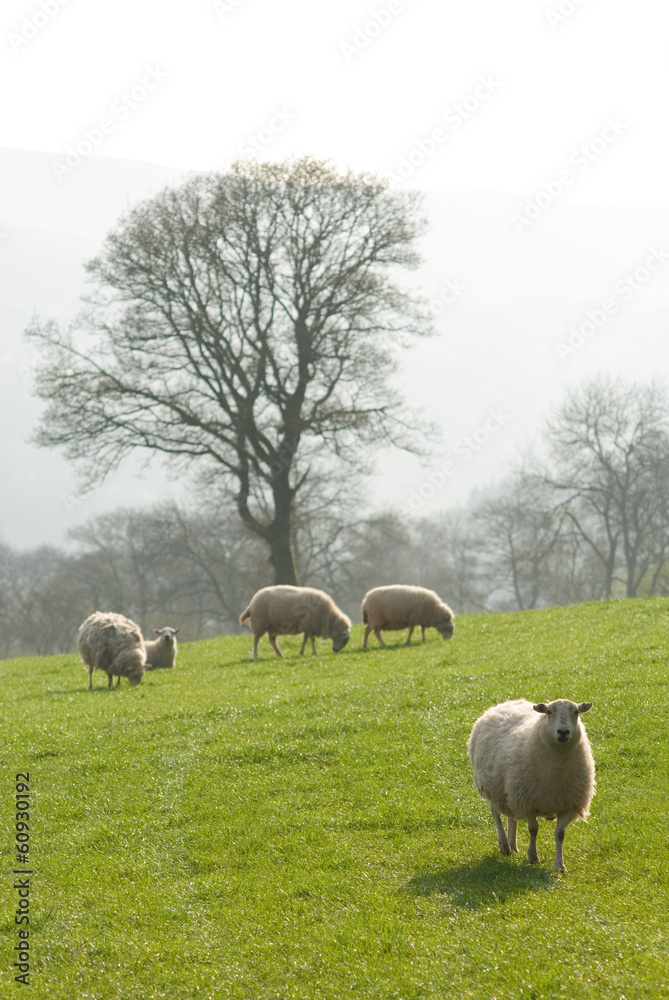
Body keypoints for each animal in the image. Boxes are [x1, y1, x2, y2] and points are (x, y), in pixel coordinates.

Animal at [467, 698, 595, 872]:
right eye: (549, 712)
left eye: (576, 712)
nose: (563, 732)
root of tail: (507, 702)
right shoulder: (527, 801)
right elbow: (533, 830)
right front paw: (532, 857)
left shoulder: (568, 804)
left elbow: (560, 834)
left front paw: (559, 865)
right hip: (493, 790)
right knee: (496, 815)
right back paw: (504, 845)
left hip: (509, 793)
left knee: (511, 818)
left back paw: (513, 846)